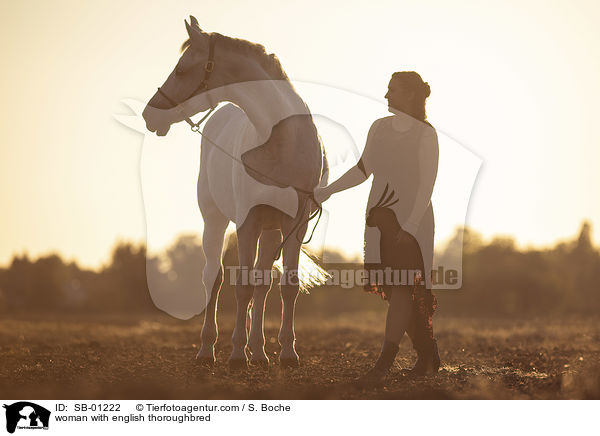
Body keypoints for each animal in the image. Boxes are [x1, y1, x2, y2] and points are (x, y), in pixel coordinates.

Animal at [141, 16, 328, 368]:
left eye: (182, 70)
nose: (149, 114)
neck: (281, 144)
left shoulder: (294, 225)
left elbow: (287, 287)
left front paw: (288, 353)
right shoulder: (247, 223)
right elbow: (240, 286)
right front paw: (238, 354)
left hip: (271, 231)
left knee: (263, 284)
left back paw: (261, 351)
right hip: (214, 221)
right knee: (212, 279)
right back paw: (208, 349)